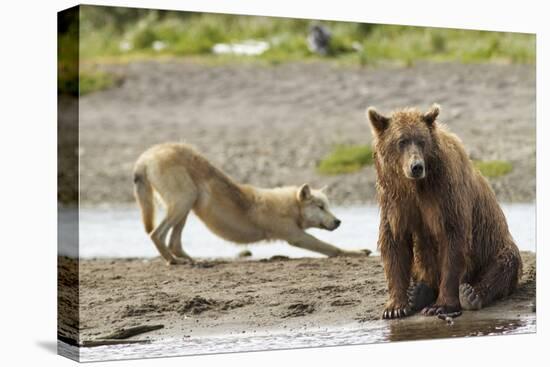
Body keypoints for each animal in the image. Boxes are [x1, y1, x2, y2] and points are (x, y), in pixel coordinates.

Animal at [133, 142, 370, 266]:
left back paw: (191, 259)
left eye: (328, 206)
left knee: (174, 242)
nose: (338, 221)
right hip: (184, 200)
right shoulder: (296, 236)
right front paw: (358, 252)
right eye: (320, 207)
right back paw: (173, 261)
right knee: (155, 234)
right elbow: (332, 248)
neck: (290, 207)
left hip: (187, 205)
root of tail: (147, 155)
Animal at [368, 104, 524, 320]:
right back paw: (418, 292)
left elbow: (453, 239)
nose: (416, 166)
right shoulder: (395, 201)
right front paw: (395, 307)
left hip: (494, 246)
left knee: (504, 263)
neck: (416, 186)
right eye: (401, 141)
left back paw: (470, 294)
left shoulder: (445, 193)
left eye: (421, 140)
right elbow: (394, 241)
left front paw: (441, 306)